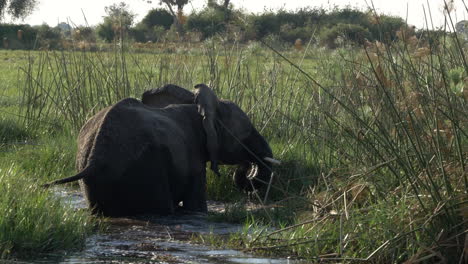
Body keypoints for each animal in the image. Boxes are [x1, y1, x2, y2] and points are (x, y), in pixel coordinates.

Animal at [44, 84, 278, 217]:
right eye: (246, 134)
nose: (246, 168)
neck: (202, 109)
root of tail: (95, 158)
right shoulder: (195, 160)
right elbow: (196, 207)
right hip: (147, 166)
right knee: (161, 208)